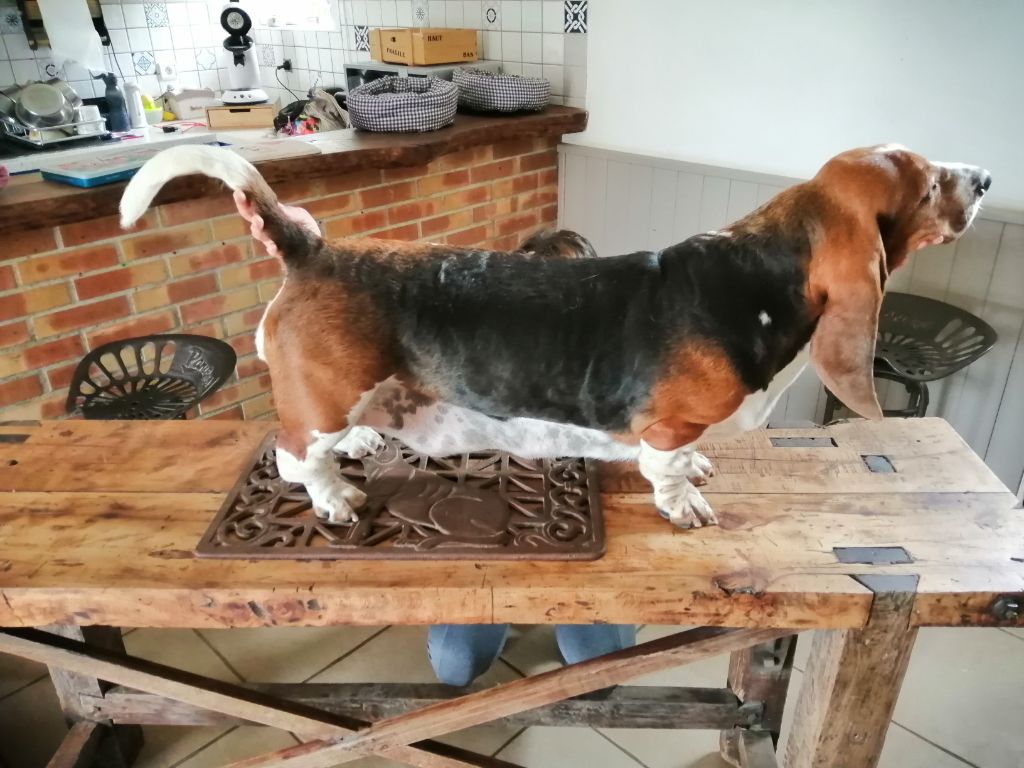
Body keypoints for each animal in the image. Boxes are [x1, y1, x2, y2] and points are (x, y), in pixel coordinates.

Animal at [120, 144, 989, 529]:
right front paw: (685, 502)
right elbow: (667, 470)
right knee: (296, 457)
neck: (759, 278)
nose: (984, 176)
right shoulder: (667, 426)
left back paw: (363, 445)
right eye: (925, 184)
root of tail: (307, 245)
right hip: (321, 403)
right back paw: (335, 495)